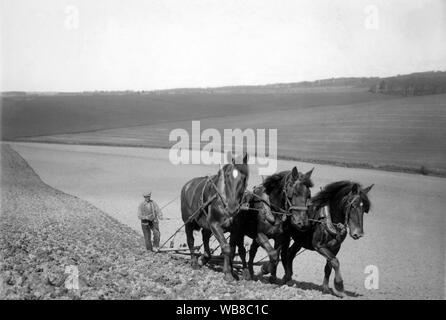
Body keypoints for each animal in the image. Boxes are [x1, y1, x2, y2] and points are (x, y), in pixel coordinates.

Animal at [181, 152, 251, 280]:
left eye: (244, 178)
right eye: (227, 176)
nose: (232, 207)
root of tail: (187, 186)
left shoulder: (236, 229)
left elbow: (232, 249)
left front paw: (231, 271)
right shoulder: (215, 224)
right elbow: (226, 247)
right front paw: (228, 273)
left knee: (205, 236)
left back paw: (204, 258)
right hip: (189, 222)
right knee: (190, 240)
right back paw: (194, 262)